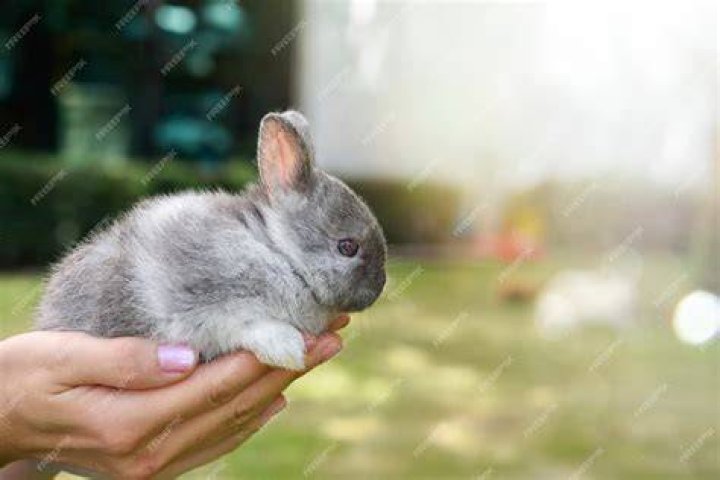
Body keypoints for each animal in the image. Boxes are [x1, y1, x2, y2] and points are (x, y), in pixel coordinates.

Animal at [36, 110, 387, 370]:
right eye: (347, 247)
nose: (378, 287)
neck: (276, 250)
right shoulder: (197, 307)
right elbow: (242, 324)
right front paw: (287, 350)